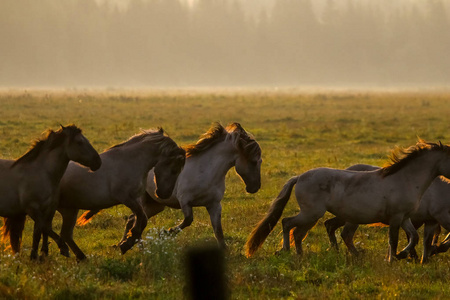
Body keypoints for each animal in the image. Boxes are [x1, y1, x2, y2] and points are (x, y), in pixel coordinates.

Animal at [0, 125, 100, 260]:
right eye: (79, 142)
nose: (98, 161)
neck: (41, 173)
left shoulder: (49, 208)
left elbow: (40, 231)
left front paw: (41, 255)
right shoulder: (32, 208)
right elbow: (44, 228)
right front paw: (62, 249)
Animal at [54, 127, 185, 260]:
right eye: (174, 170)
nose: (164, 194)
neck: (129, 162)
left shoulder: (136, 199)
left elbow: (141, 220)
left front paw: (127, 242)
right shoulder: (126, 198)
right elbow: (141, 218)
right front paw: (126, 243)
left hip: (69, 210)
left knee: (65, 234)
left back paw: (78, 256)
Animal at [80, 122, 262, 248]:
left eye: (259, 161)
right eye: (254, 161)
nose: (254, 188)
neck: (207, 171)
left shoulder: (214, 205)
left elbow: (219, 231)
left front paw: (225, 250)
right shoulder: (184, 201)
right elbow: (188, 220)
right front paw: (165, 233)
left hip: (155, 205)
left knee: (133, 219)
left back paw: (129, 244)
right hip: (143, 201)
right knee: (134, 219)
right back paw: (132, 244)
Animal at [246, 141, 450, 262]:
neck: (404, 179)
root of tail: (299, 177)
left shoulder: (406, 218)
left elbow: (414, 237)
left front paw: (402, 255)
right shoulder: (396, 218)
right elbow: (393, 240)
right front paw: (393, 259)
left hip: (315, 216)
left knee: (298, 232)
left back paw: (301, 254)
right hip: (312, 213)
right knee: (287, 223)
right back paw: (286, 251)